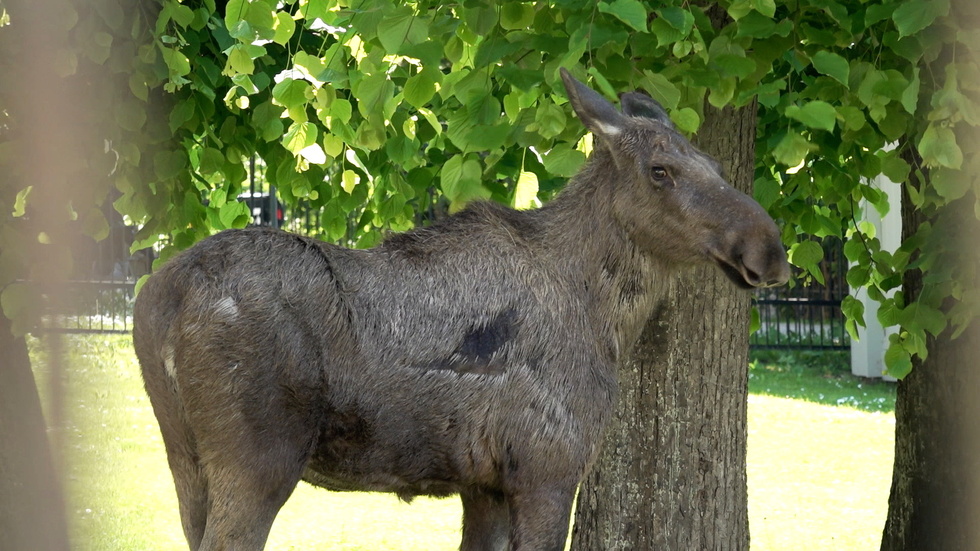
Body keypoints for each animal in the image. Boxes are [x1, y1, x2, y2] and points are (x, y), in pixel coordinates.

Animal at [132, 70, 788, 551]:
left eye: (719, 166)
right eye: (660, 171)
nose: (770, 249)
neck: (607, 322)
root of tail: (158, 300)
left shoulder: (486, 486)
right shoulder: (548, 472)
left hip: (186, 461)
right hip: (258, 464)